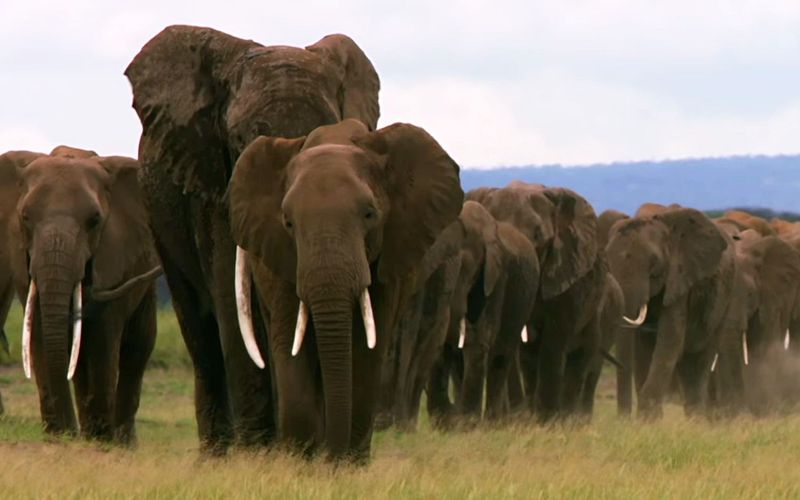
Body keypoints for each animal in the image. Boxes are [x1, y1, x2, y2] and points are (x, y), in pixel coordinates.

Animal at [0, 145, 160, 442]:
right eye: (25, 218)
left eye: (94, 220)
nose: (69, 434)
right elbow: (40, 330)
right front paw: (60, 436)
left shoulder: (115, 254)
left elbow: (103, 336)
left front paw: (100, 439)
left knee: (138, 344)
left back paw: (121, 441)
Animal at [126, 24, 382, 454]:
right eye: (241, 138)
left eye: (325, 132)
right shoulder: (214, 184)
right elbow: (233, 301)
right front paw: (259, 451)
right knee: (200, 329)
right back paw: (218, 454)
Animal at [225, 118, 462, 460]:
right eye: (288, 223)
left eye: (369, 214)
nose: (332, 457)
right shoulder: (282, 257)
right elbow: (290, 343)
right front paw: (303, 461)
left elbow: (366, 352)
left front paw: (345, 463)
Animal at [468, 182, 608, 420]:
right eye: (495, 226)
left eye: (538, 235)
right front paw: (518, 420)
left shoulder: (566, 279)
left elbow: (553, 343)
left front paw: (547, 422)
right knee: (529, 361)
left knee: (580, 359)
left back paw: (569, 420)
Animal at [608, 203, 736, 418]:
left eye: (654, 266)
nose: (622, 420)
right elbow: (644, 346)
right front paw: (648, 420)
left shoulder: (680, 280)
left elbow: (670, 339)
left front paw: (648, 417)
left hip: (726, 298)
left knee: (702, 357)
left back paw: (696, 420)